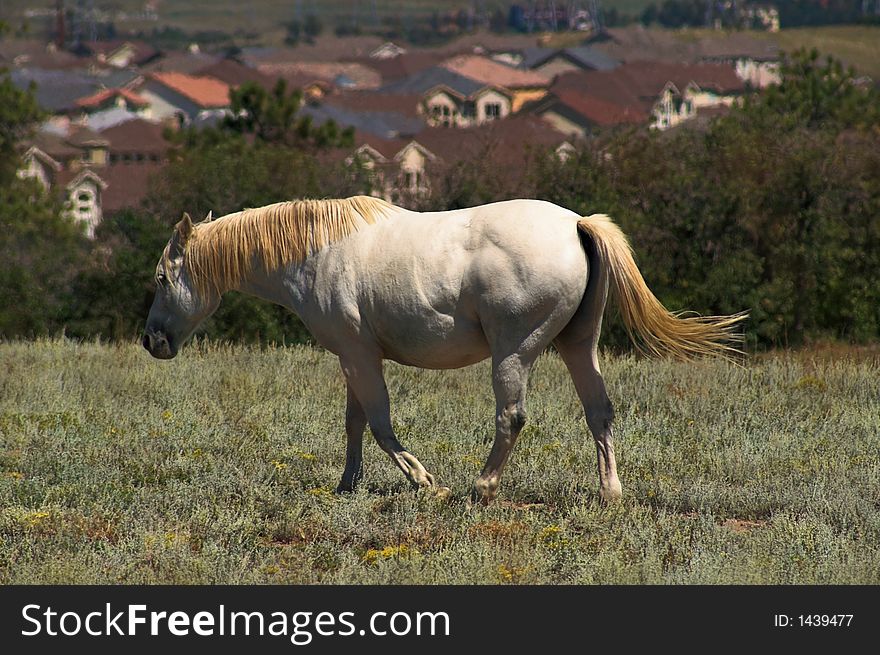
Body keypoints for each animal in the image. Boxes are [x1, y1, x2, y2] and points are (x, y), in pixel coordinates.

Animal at [141, 197, 744, 504]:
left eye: (163, 278)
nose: (152, 341)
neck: (317, 251)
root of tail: (577, 224)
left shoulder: (358, 356)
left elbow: (380, 423)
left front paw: (424, 481)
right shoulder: (355, 358)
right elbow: (355, 423)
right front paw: (347, 485)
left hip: (514, 353)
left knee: (511, 417)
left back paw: (481, 486)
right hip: (579, 345)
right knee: (600, 412)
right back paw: (610, 492)